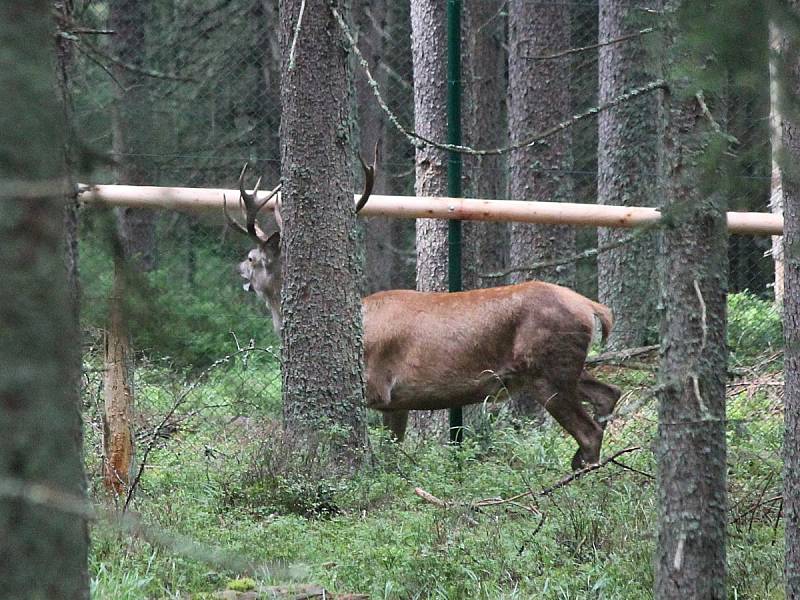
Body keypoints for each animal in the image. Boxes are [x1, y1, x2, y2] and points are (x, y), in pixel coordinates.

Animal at [228, 158, 620, 468]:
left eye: (251, 257)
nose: (238, 269)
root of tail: (592, 307)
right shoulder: (397, 402)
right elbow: (395, 450)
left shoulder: (376, 387)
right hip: (565, 366)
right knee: (609, 395)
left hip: (547, 367)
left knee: (589, 431)